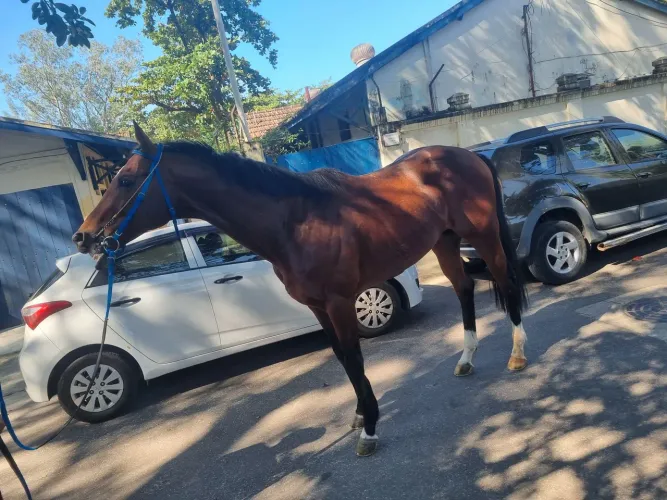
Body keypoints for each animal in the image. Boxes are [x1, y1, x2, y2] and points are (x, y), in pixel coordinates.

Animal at [72, 123, 528, 457]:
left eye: (127, 180)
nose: (84, 237)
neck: (294, 221)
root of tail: (468, 155)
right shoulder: (317, 308)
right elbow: (343, 359)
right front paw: (360, 415)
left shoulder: (340, 303)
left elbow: (355, 360)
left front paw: (369, 430)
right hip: (445, 241)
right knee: (464, 288)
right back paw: (466, 359)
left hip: (484, 236)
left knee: (506, 282)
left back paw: (517, 356)